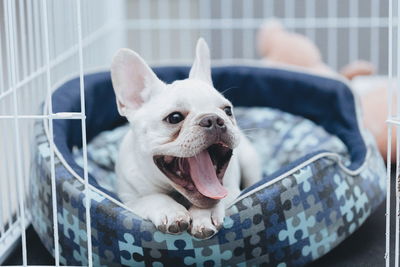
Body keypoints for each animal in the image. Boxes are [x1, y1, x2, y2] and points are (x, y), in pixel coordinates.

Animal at [111, 38, 262, 241]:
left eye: (227, 110)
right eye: (174, 118)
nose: (213, 119)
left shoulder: (231, 190)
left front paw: (204, 215)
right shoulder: (128, 199)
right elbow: (152, 198)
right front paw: (171, 211)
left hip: (250, 161)